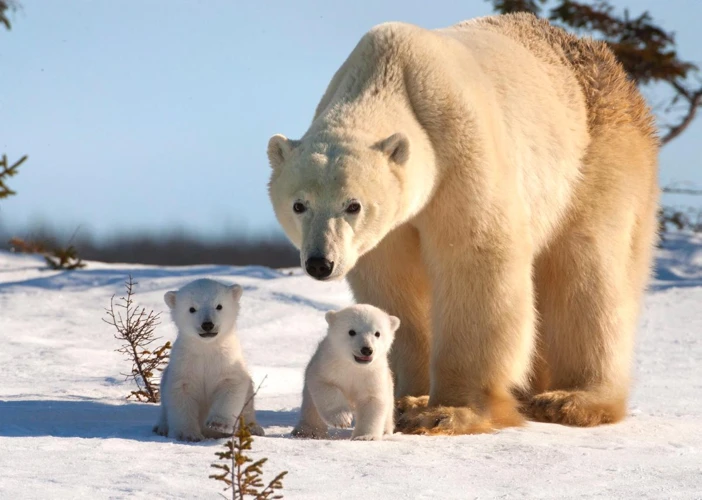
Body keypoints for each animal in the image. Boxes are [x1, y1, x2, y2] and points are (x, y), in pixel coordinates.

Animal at [268, 11, 660, 434]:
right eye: (299, 205)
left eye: (353, 205)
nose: (320, 263)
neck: (389, 74)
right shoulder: (388, 231)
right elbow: (394, 284)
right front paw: (408, 398)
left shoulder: (459, 150)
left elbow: (475, 260)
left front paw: (447, 411)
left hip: (596, 159)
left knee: (588, 273)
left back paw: (571, 399)